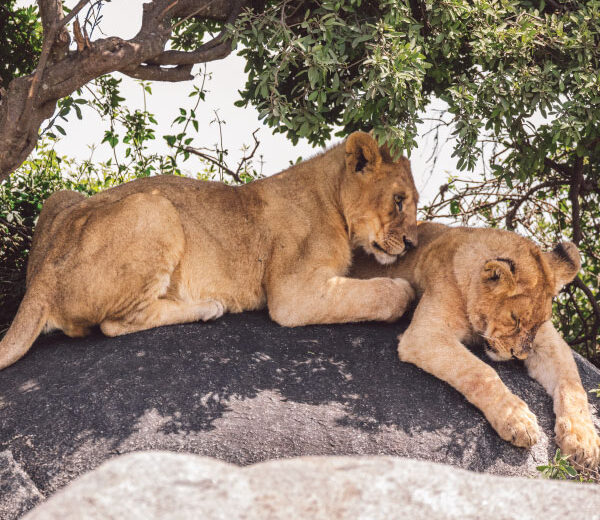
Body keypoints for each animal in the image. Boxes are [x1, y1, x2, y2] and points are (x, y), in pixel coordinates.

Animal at [0, 132, 420, 372]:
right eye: (399, 201)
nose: (413, 243)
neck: (333, 199)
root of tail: (41, 278)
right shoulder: (293, 295)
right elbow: (381, 294)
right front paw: (405, 292)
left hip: (61, 197)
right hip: (155, 208)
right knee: (115, 324)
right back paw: (208, 307)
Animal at [352, 219, 600, 468]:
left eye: (538, 323)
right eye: (515, 319)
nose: (519, 356)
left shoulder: (549, 342)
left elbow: (573, 386)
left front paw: (584, 442)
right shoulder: (426, 332)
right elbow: (481, 371)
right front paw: (517, 420)